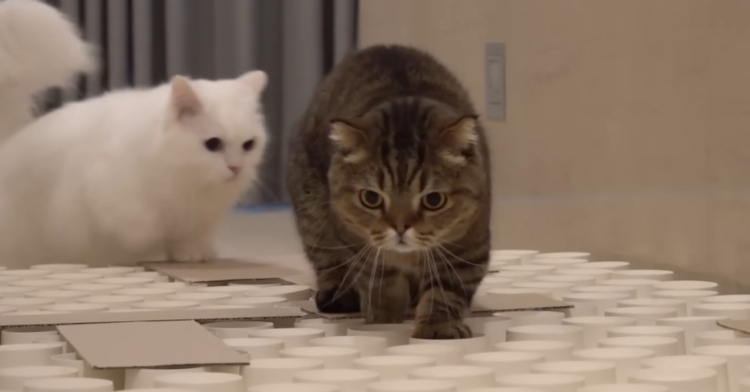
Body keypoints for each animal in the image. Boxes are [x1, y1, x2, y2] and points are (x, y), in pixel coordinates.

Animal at [0, 69, 270, 270]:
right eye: (213, 144)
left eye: (249, 145)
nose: (236, 167)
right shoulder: (111, 199)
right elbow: (145, 229)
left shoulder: (202, 217)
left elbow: (189, 237)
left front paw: (192, 253)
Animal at [288, 43, 494, 340]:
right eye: (371, 198)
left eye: (433, 199)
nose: (400, 226)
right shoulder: (358, 245)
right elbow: (382, 287)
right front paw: (384, 322)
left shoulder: (467, 249)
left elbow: (446, 292)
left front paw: (438, 326)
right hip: (312, 212)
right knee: (326, 260)